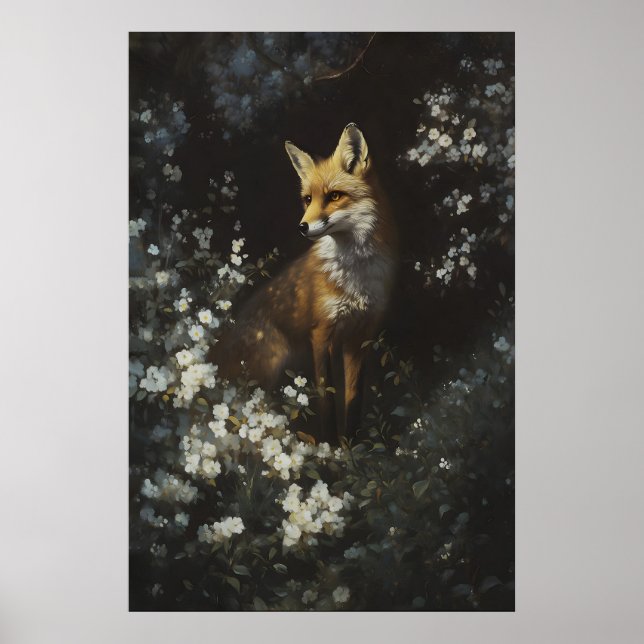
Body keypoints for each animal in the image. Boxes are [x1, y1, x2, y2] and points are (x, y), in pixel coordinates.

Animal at [211, 123, 398, 443]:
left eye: (334, 196)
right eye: (308, 199)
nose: (301, 227)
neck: (354, 276)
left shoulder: (359, 336)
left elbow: (353, 398)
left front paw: (351, 445)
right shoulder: (321, 334)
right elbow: (327, 400)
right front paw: (331, 445)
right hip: (274, 361)